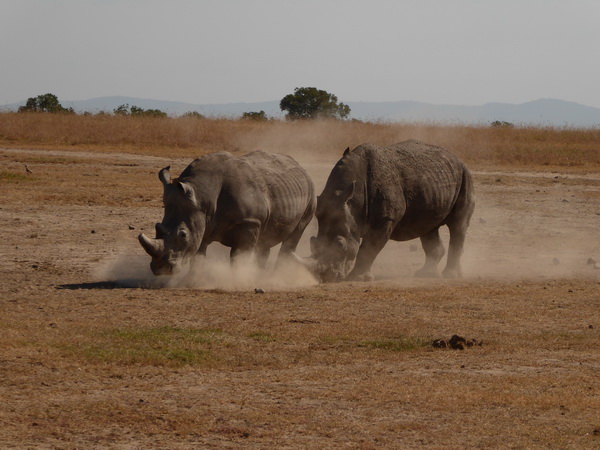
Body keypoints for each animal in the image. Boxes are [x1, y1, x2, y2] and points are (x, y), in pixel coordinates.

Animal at [139, 151, 316, 276]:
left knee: (296, 233)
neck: (203, 194)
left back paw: (276, 275)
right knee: (266, 238)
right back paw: (260, 275)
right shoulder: (202, 221)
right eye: (157, 228)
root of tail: (301, 167)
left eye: (183, 235)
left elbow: (239, 255)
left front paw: (236, 279)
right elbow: (198, 255)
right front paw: (193, 280)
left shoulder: (249, 221)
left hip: (311, 195)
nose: (160, 270)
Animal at [310, 141, 474, 282]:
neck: (352, 201)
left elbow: (368, 248)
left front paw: (358, 278)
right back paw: (426, 274)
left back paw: (450, 276)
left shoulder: (386, 218)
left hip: (465, 176)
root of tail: (457, 158)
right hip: (434, 184)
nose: (327, 277)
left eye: (340, 244)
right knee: (428, 228)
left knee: (458, 225)